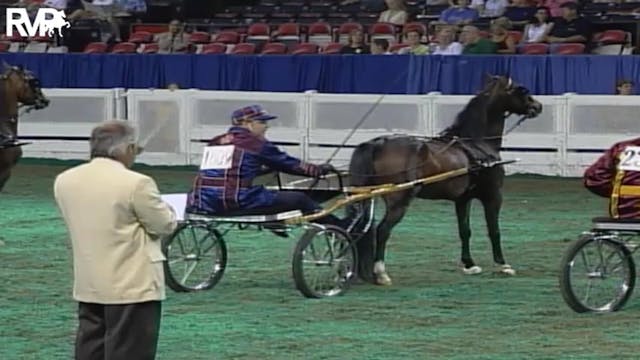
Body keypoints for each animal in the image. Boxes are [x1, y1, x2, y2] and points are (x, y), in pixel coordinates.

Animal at [348, 74, 544, 286]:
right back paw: (381, 273)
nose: (538, 106)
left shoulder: (463, 199)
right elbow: (494, 231)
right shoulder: (493, 196)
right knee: (382, 230)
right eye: (522, 90)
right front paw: (503, 265)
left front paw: (469, 264)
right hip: (399, 200)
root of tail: (377, 144)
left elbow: (464, 231)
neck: (478, 145)